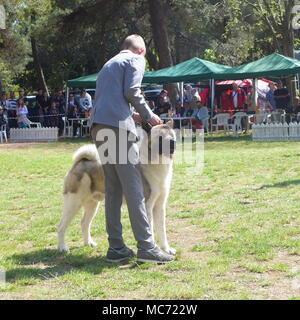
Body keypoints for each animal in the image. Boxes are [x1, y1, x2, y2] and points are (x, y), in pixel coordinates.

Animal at [56, 122, 176, 255]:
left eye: (172, 135)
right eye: (160, 138)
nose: (172, 143)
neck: (155, 162)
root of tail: (81, 162)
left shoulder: (159, 206)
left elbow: (161, 230)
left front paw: (166, 249)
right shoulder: (147, 206)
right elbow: (150, 229)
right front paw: (154, 250)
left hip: (92, 204)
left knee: (84, 223)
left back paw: (88, 243)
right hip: (73, 202)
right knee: (61, 226)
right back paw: (62, 247)